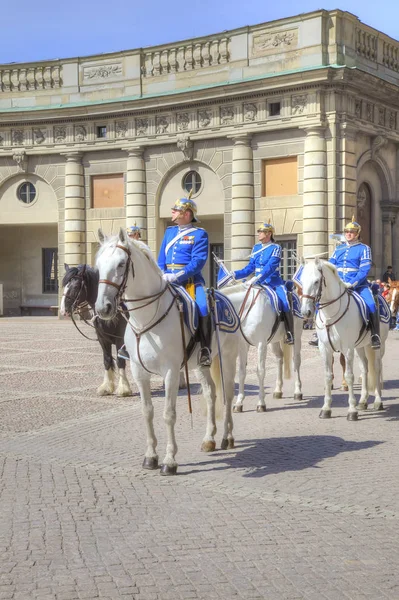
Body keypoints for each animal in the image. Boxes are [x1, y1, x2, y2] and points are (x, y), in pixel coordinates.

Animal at [61, 264, 133, 396]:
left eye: (76, 286)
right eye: (64, 286)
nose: (63, 310)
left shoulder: (120, 338)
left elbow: (120, 360)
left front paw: (123, 388)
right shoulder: (102, 338)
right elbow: (107, 360)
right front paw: (106, 387)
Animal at [95, 229, 239, 474]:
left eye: (121, 264)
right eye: (98, 265)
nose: (102, 308)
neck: (146, 319)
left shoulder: (170, 372)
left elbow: (169, 415)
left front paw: (170, 460)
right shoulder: (139, 372)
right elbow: (147, 411)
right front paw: (150, 457)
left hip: (228, 358)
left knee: (227, 394)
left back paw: (227, 437)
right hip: (201, 364)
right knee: (210, 393)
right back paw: (209, 439)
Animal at [222, 284, 304, 414]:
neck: (248, 307)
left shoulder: (261, 344)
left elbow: (260, 371)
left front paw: (261, 403)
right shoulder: (243, 344)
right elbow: (241, 372)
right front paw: (239, 403)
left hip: (297, 336)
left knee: (296, 361)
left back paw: (298, 392)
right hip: (273, 342)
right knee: (279, 358)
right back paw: (278, 390)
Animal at [302, 255, 390, 420]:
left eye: (316, 281)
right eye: (302, 281)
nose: (306, 312)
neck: (330, 314)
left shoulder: (347, 348)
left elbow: (349, 376)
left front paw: (352, 410)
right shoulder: (325, 348)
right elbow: (328, 376)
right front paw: (326, 409)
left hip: (378, 345)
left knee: (377, 367)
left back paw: (377, 401)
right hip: (361, 346)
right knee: (365, 368)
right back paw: (363, 401)